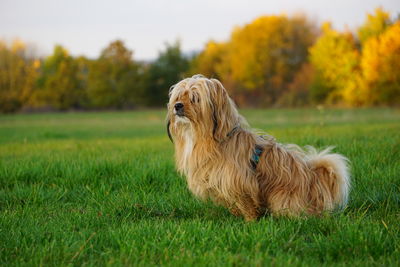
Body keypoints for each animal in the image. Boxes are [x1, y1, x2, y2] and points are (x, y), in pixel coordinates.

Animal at [166, 75, 350, 222]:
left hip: (281, 197)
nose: (177, 106)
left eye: (195, 98)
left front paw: (250, 221)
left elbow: (246, 204)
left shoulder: (241, 182)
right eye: (178, 97)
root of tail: (315, 181)